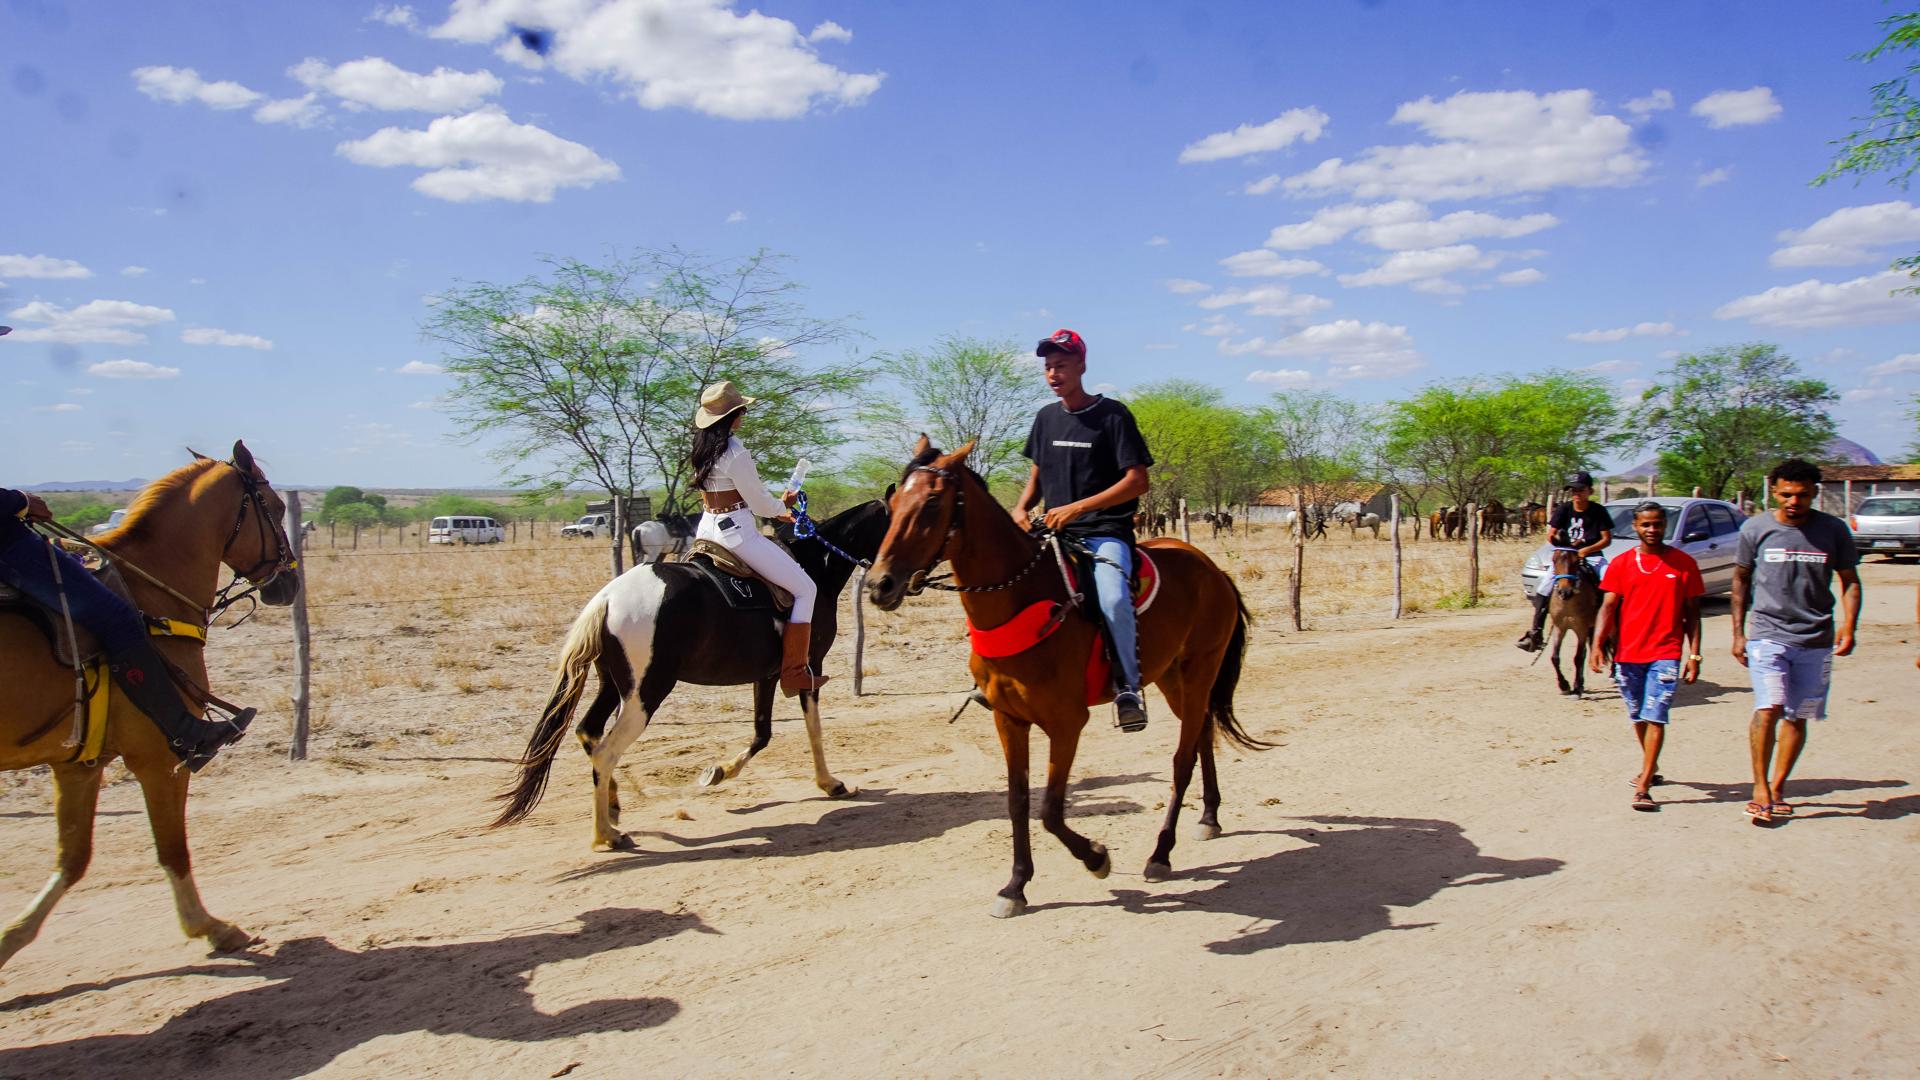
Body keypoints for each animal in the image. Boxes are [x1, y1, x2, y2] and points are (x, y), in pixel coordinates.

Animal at [0, 441, 300, 969]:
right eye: (274, 505)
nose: (289, 584)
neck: (150, 597)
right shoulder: (159, 759)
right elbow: (172, 850)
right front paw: (212, 928)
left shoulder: (80, 764)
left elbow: (72, 859)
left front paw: (10, 939)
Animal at [493, 491, 894, 851]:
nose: (890, 587)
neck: (814, 566)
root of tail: (607, 599)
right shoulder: (808, 667)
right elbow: (813, 729)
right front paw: (830, 783)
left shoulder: (765, 675)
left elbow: (762, 734)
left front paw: (719, 772)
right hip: (645, 694)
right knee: (605, 751)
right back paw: (606, 834)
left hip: (613, 686)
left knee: (588, 732)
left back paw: (614, 807)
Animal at [865, 439, 1270, 918]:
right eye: (892, 505)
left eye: (931, 503)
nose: (879, 584)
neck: (1023, 597)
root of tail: (1213, 570)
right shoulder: (1008, 720)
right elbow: (1018, 801)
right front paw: (1015, 886)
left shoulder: (1066, 724)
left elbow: (1051, 811)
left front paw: (1096, 857)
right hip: (1173, 677)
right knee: (1203, 733)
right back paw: (1209, 817)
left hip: (1199, 669)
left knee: (1182, 759)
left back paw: (1161, 853)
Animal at [1544, 547, 1601, 696]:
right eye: (1554, 560)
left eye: (1575, 562)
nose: (1565, 592)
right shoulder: (1559, 628)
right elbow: (1555, 657)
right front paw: (1564, 685)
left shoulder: (1581, 629)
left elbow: (1578, 657)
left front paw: (1575, 687)